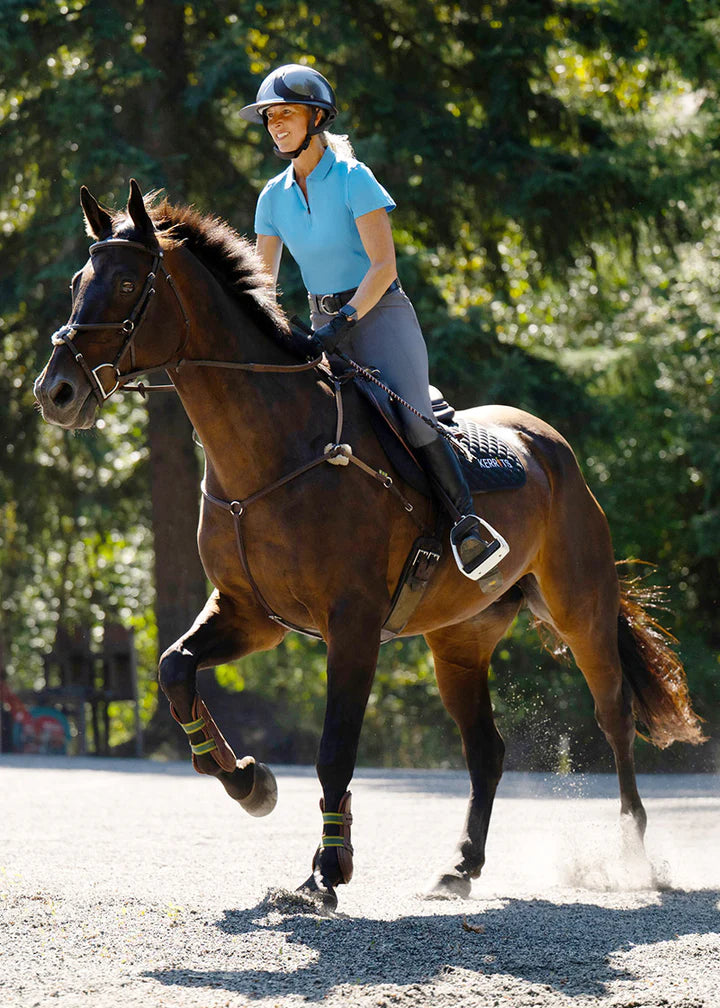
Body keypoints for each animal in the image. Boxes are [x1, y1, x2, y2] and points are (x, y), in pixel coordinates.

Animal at [34, 181, 704, 909]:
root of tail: (548, 444)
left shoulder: (351, 624)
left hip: (581, 610)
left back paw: (633, 855)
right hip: (460, 640)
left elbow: (334, 747)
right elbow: (175, 668)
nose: (56, 392)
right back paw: (460, 868)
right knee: (487, 750)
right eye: (77, 282)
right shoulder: (250, 614)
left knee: (614, 717)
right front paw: (250, 782)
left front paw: (325, 871)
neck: (272, 450)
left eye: (129, 283)